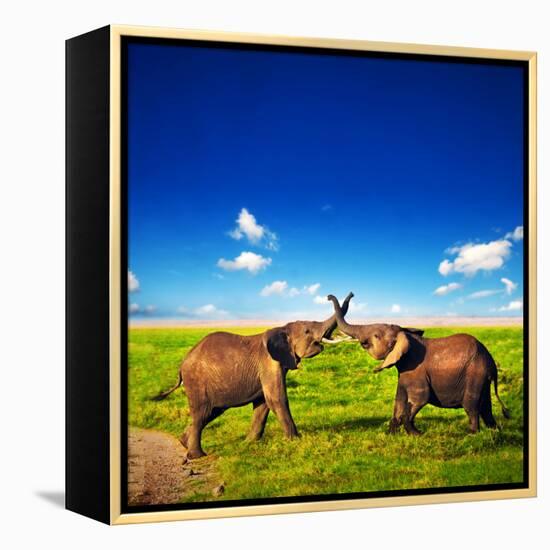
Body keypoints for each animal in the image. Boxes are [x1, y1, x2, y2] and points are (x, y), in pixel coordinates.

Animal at [154, 294, 354, 462]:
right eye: (307, 331)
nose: (329, 296)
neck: (282, 328)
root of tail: (182, 364)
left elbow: (263, 404)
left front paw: (249, 443)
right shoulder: (269, 364)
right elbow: (277, 399)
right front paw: (295, 440)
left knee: (211, 412)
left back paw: (183, 442)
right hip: (196, 381)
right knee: (202, 412)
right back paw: (198, 455)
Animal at [326, 292, 512, 438]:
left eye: (376, 336)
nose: (328, 296)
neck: (405, 335)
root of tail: (491, 362)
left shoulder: (416, 372)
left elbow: (419, 398)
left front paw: (417, 435)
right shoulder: (404, 372)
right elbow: (399, 400)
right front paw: (391, 435)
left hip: (475, 373)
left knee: (471, 406)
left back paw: (471, 435)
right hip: (482, 378)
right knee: (485, 406)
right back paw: (495, 431)